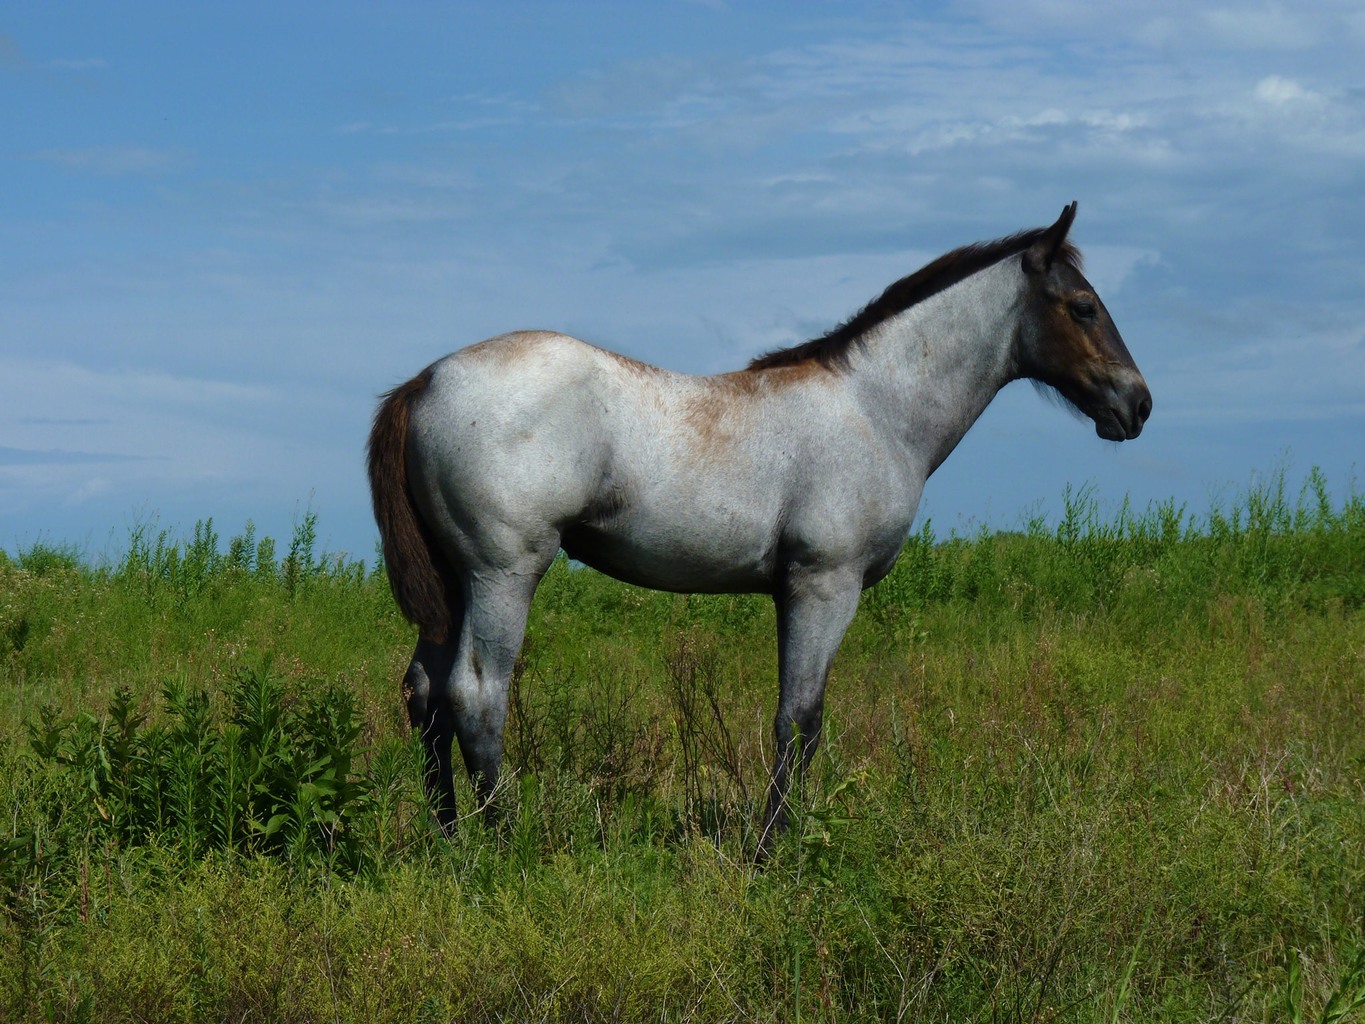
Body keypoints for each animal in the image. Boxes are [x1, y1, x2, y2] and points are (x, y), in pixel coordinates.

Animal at [367, 203, 1151, 855]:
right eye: (1083, 306)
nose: (1137, 404)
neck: (874, 408)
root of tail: (424, 382)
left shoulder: (788, 592)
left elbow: (792, 717)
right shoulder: (825, 585)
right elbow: (798, 719)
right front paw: (771, 851)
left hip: (452, 585)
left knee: (426, 696)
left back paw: (450, 842)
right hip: (502, 573)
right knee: (476, 695)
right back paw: (504, 845)